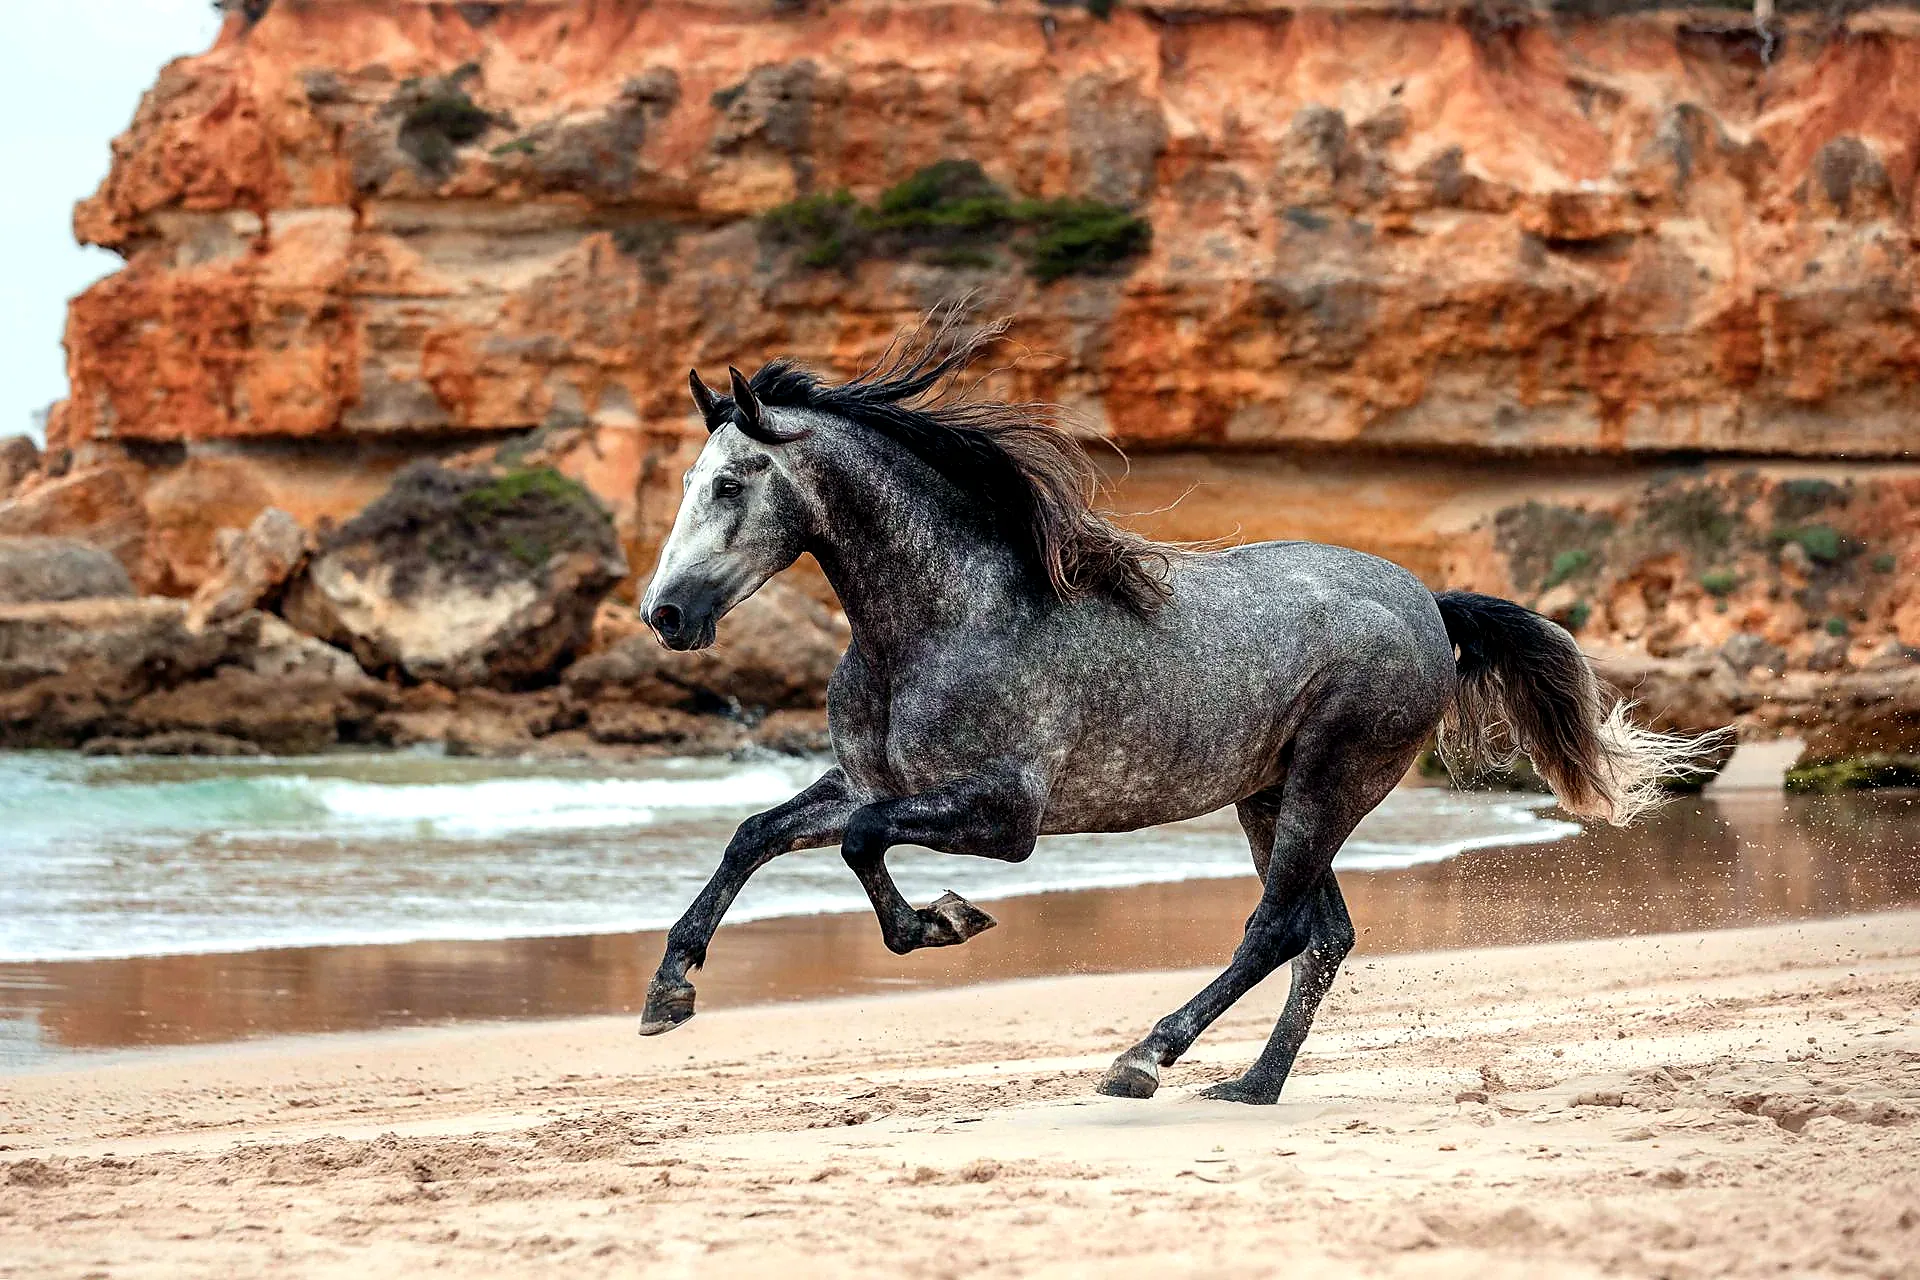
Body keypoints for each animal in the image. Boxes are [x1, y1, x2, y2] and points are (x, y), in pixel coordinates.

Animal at [634, 314, 1721, 1104]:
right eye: (690, 479)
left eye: (729, 483)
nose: (666, 613)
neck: (943, 616)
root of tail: (1428, 602)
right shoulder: (872, 778)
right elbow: (756, 832)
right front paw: (669, 991)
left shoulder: (1005, 814)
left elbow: (863, 842)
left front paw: (944, 922)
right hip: (1269, 796)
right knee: (1323, 935)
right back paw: (1250, 1086)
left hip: (1328, 784)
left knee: (1276, 929)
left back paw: (1146, 1059)